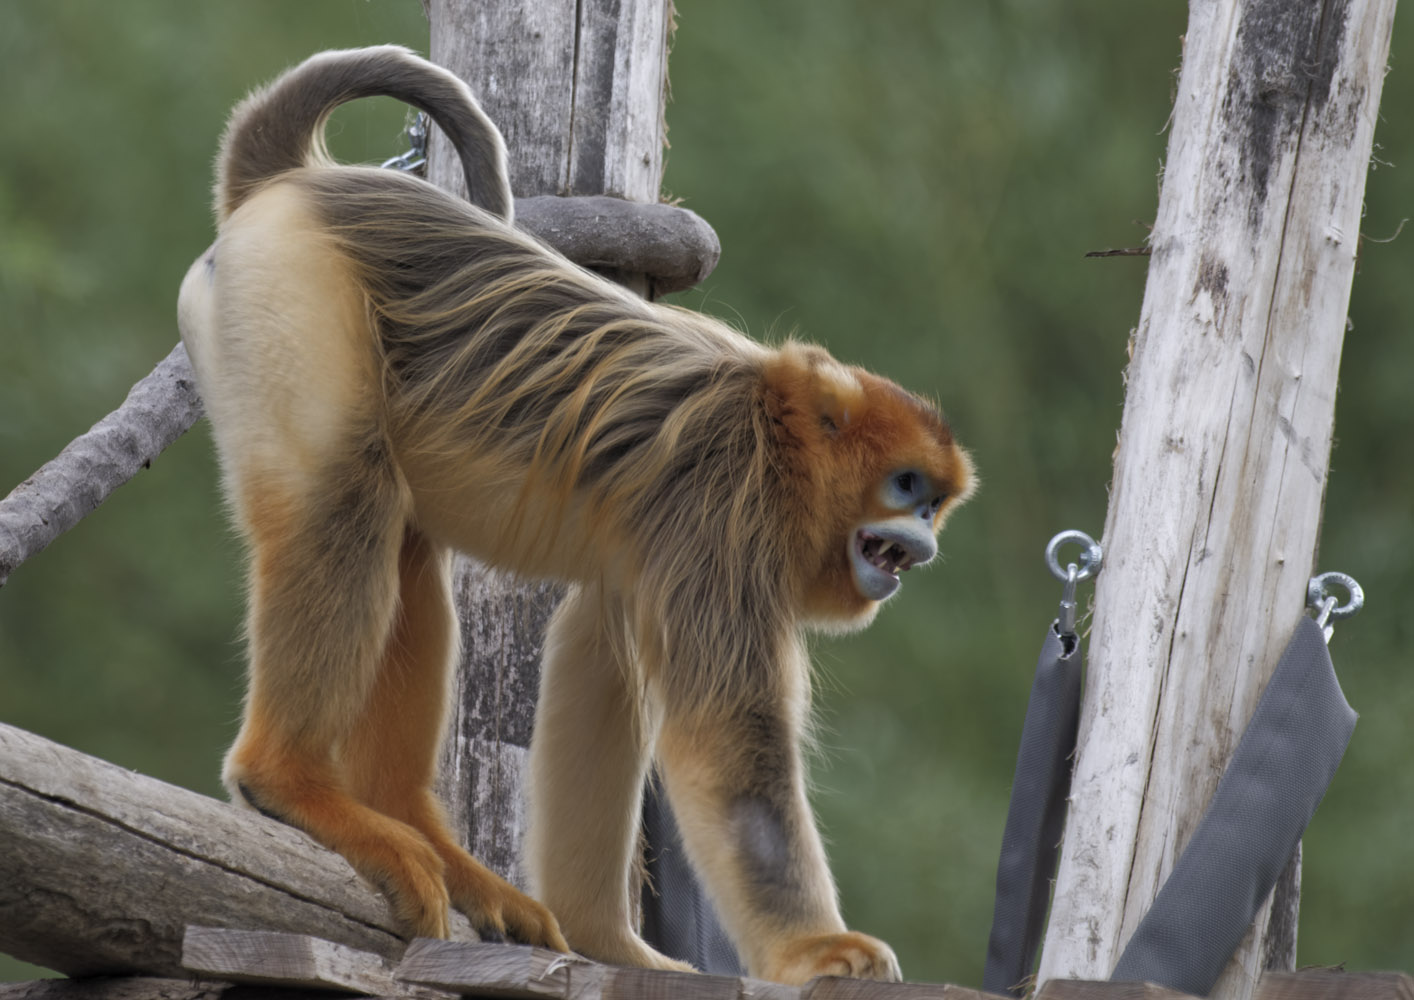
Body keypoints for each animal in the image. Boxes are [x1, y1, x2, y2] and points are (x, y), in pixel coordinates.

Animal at [177, 46, 973, 985]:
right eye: (906, 486)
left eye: (936, 502)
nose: (922, 543)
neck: (773, 433)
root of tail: (296, 184)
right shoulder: (724, 512)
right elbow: (729, 748)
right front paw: (815, 949)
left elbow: (602, 662)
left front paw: (610, 945)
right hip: (293, 291)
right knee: (346, 499)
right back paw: (288, 786)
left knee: (405, 548)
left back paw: (414, 830)